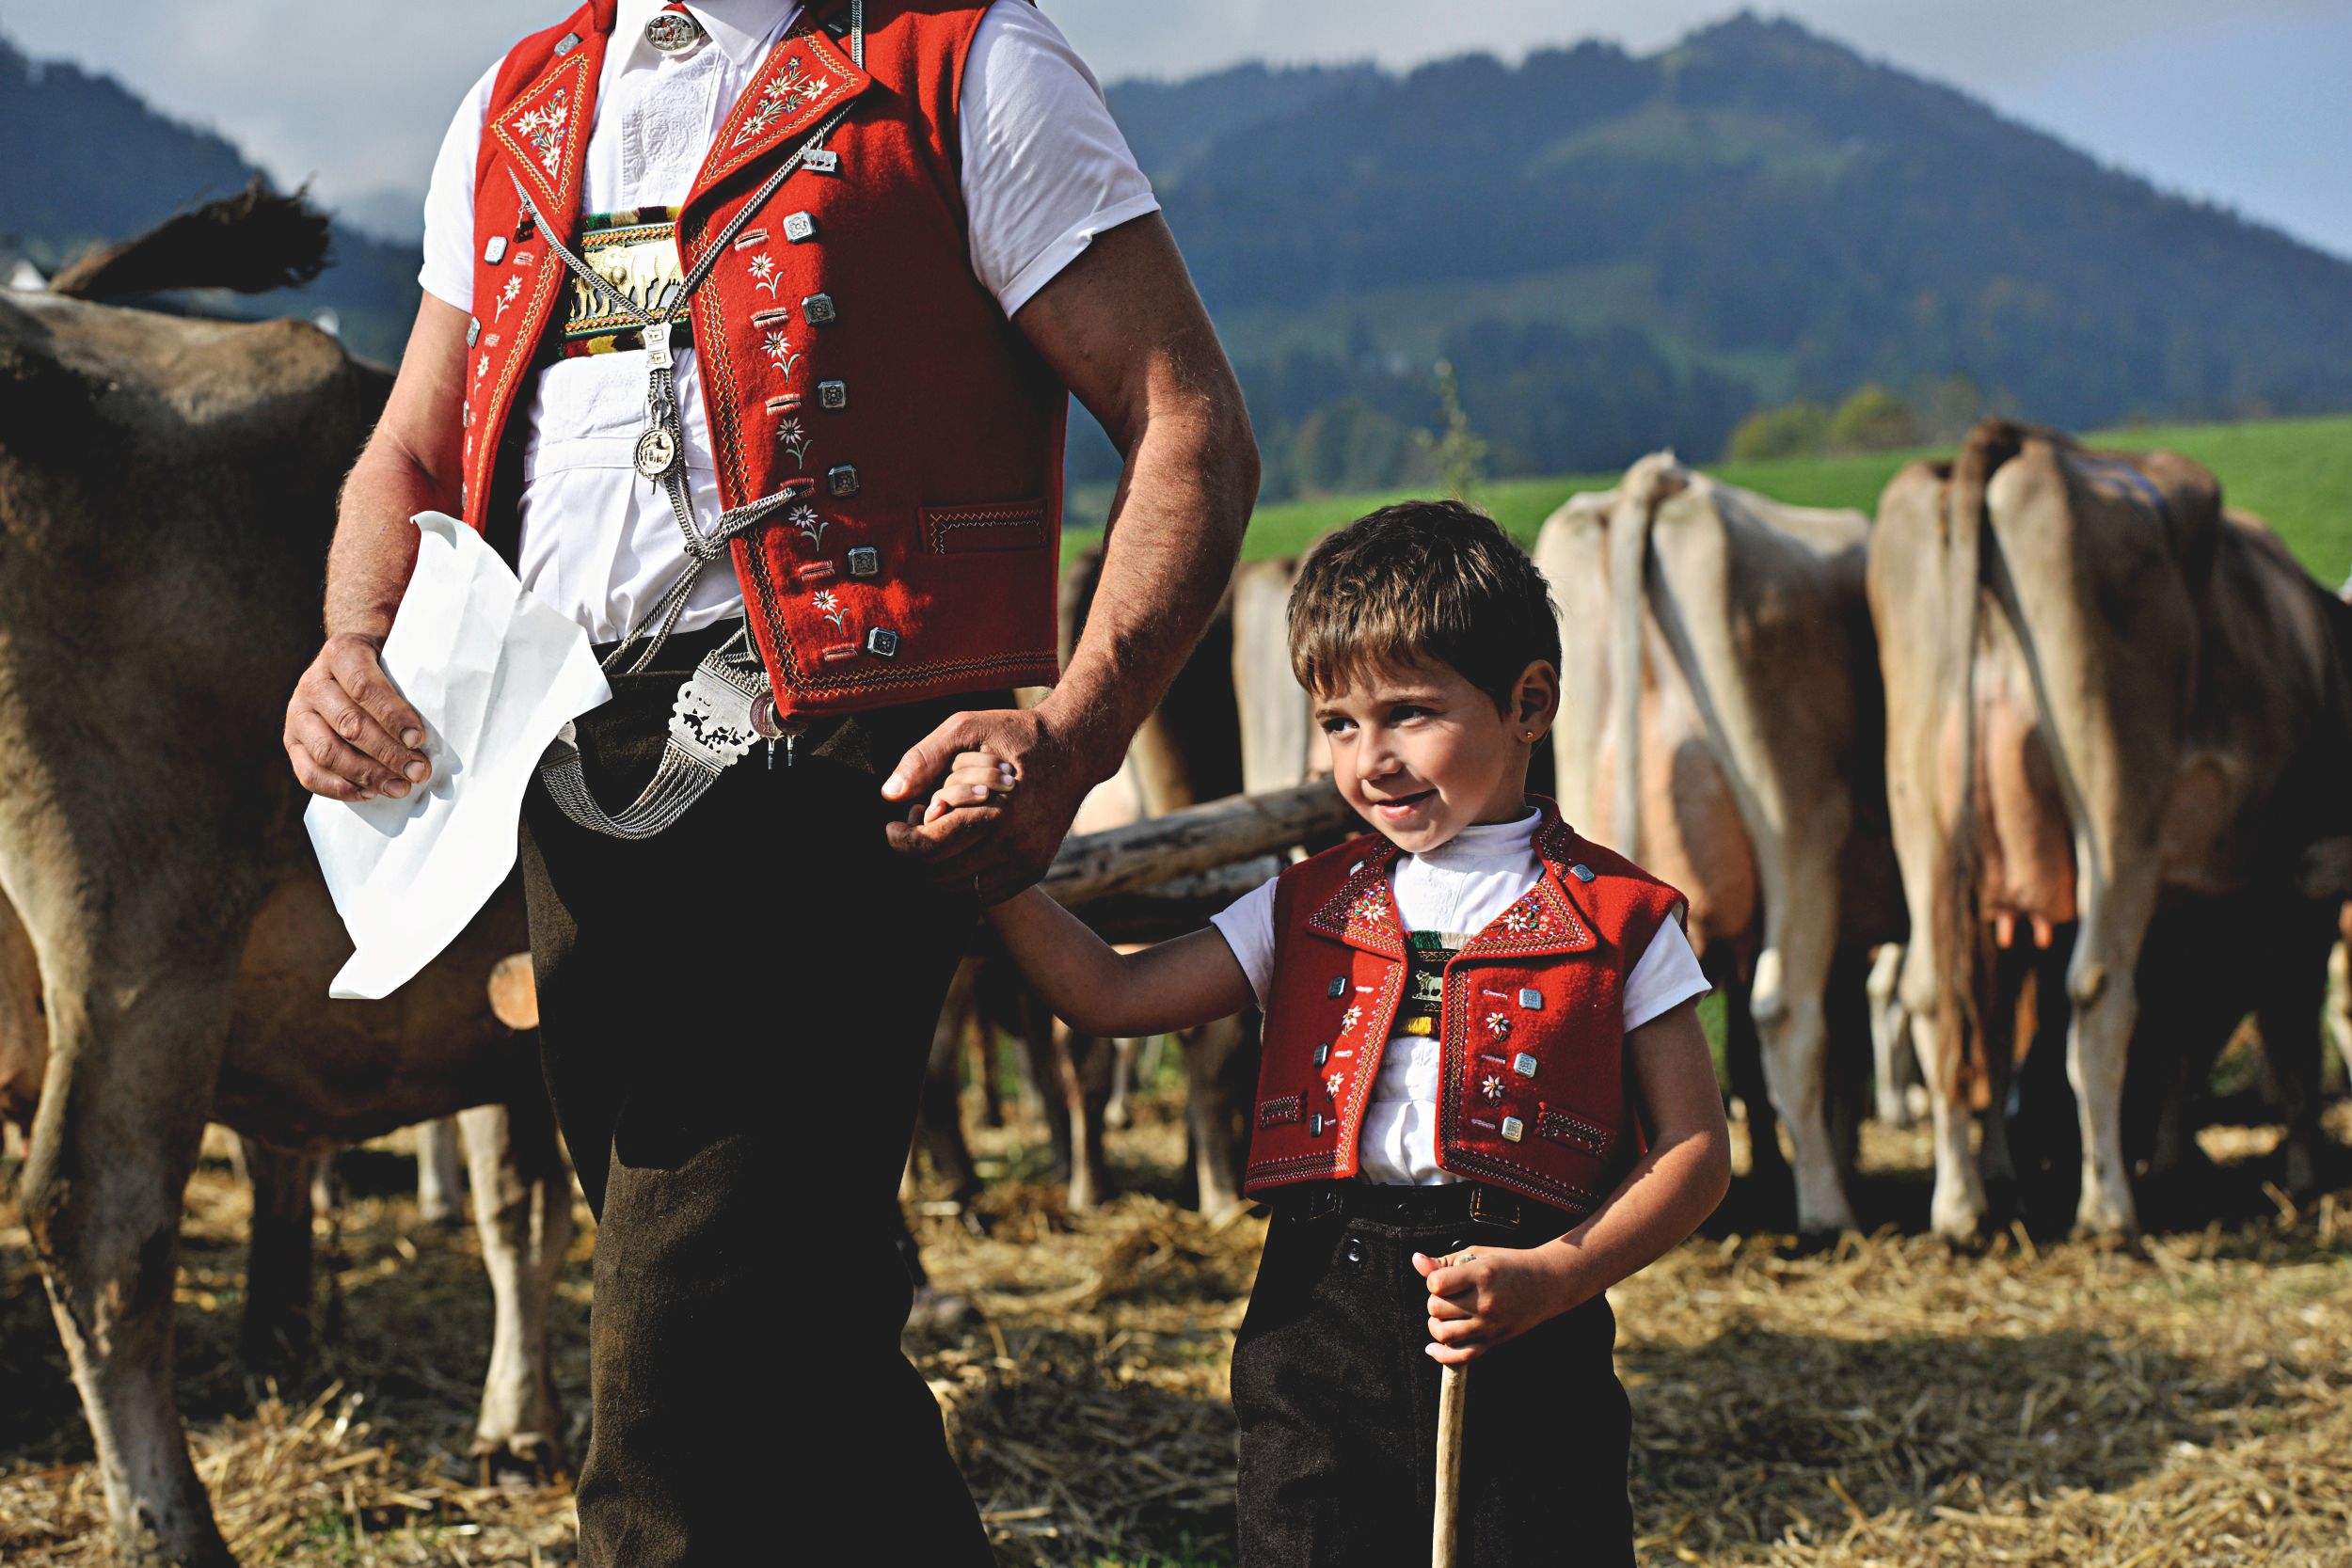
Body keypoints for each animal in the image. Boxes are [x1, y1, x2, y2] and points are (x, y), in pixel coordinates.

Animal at [1863, 422, 2343, 1241]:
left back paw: (1963, 1204)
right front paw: (2301, 1167)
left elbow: (2176, 1026)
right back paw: (2108, 1204)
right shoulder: (2298, 892)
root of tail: (2017, 441)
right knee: (2097, 990)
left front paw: (2176, 1159)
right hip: (2112, 794)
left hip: (1923, 802)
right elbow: (2288, 1037)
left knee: (1942, 994)